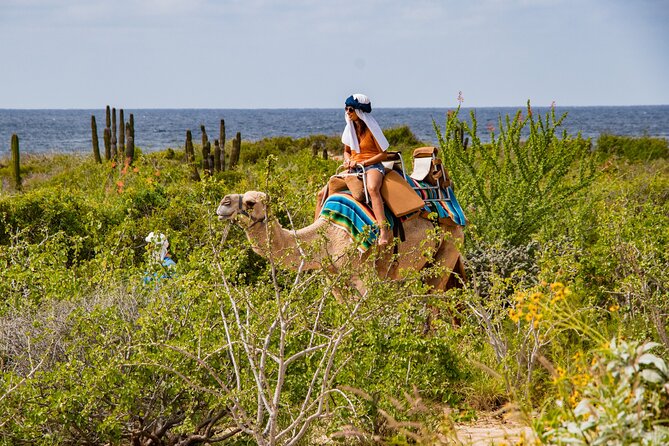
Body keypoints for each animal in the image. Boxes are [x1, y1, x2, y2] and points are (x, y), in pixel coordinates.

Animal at [216, 191, 465, 295]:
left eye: (250, 203)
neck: (327, 236)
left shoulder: (361, 275)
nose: (223, 203)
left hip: (451, 245)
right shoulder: (331, 278)